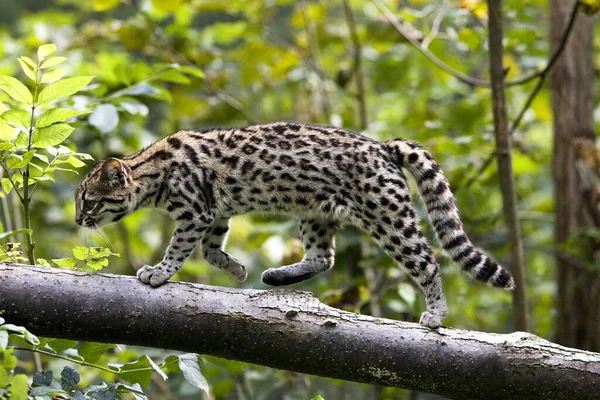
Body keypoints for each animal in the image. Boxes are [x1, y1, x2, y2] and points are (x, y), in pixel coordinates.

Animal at [76, 121, 516, 328]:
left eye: (88, 200)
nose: (79, 219)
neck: (150, 170)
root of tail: (383, 146)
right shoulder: (215, 212)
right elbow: (210, 248)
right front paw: (236, 269)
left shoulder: (195, 212)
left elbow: (181, 247)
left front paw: (159, 272)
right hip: (315, 212)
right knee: (324, 258)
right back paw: (276, 276)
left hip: (388, 218)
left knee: (428, 262)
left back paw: (436, 314)